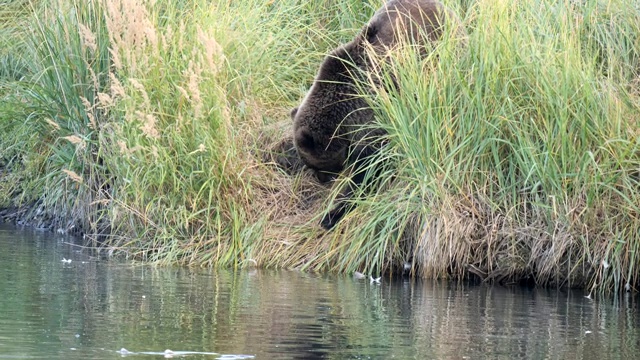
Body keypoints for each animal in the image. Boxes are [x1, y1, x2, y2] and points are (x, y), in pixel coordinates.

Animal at [292, 0, 464, 229]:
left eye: (313, 163)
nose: (321, 179)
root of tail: (446, 8)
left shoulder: (370, 113)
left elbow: (371, 168)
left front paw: (332, 214)